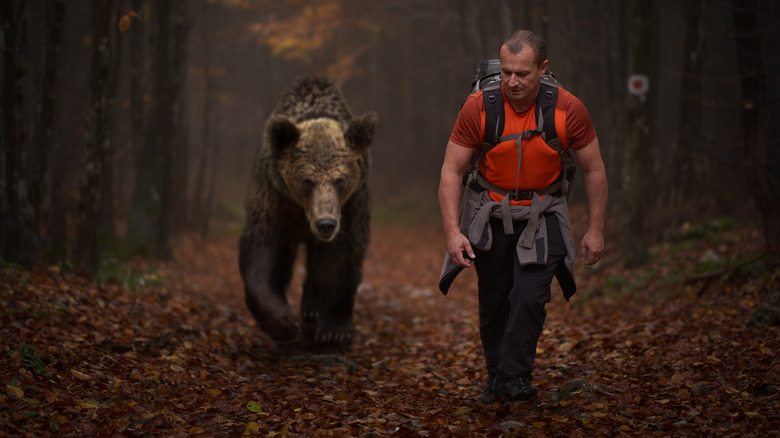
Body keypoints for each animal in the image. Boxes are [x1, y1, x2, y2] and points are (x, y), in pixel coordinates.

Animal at [241, 76, 378, 350]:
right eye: (307, 181)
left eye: (340, 180)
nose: (325, 223)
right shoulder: (276, 198)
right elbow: (263, 251)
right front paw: (283, 321)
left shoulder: (351, 205)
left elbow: (342, 256)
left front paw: (334, 330)